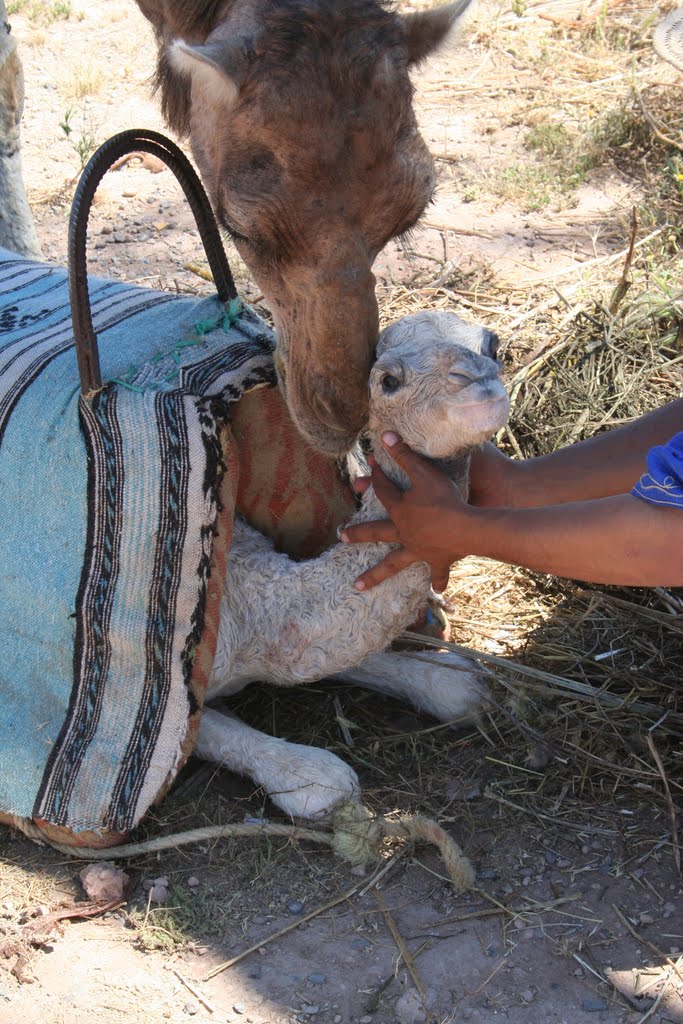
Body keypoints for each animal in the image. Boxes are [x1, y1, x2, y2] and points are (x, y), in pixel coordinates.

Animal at [194, 307, 509, 819]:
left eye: (492, 345)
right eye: (388, 380)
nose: (478, 379)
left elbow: (359, 659)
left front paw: (448, 679)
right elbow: (215, 734)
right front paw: (309, 777)